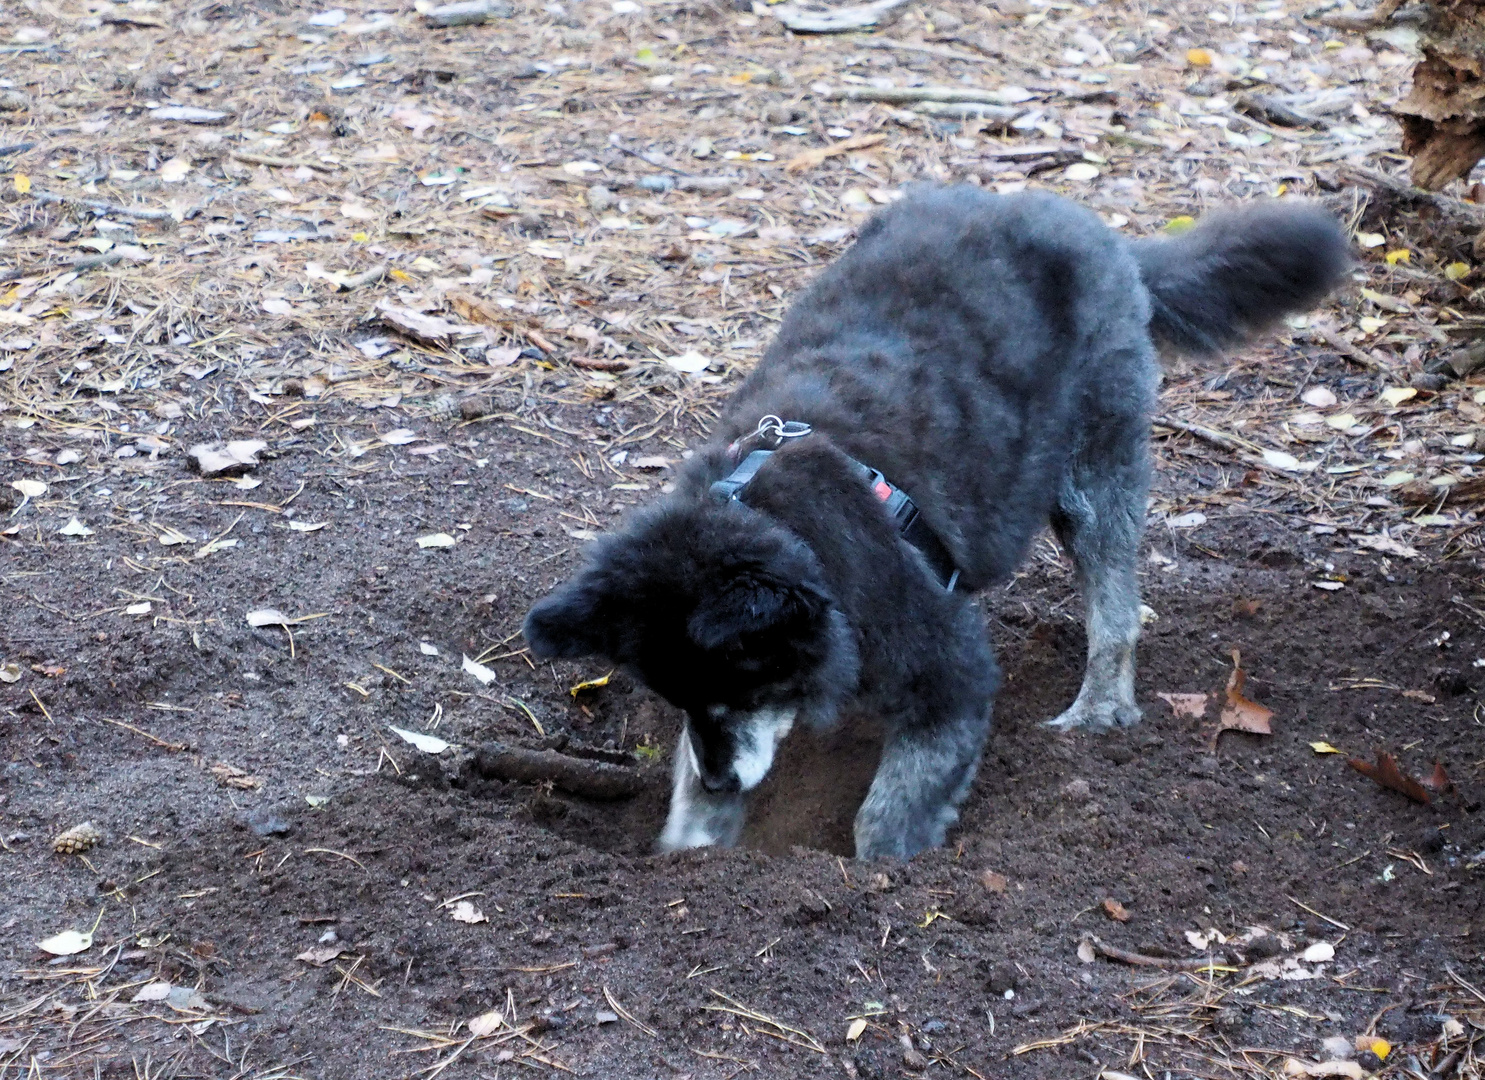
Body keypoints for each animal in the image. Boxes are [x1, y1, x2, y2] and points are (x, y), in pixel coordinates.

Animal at [528, 185, 1354, 861]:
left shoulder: (949, 675)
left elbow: (886, 813)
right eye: (680, 700)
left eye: (742, 690)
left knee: (1114, 603)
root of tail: (1102, 234)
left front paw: (881, 873)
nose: (723, 785)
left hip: (1093, 470)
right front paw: (694, 844)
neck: (782, 521)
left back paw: (1100, 706)